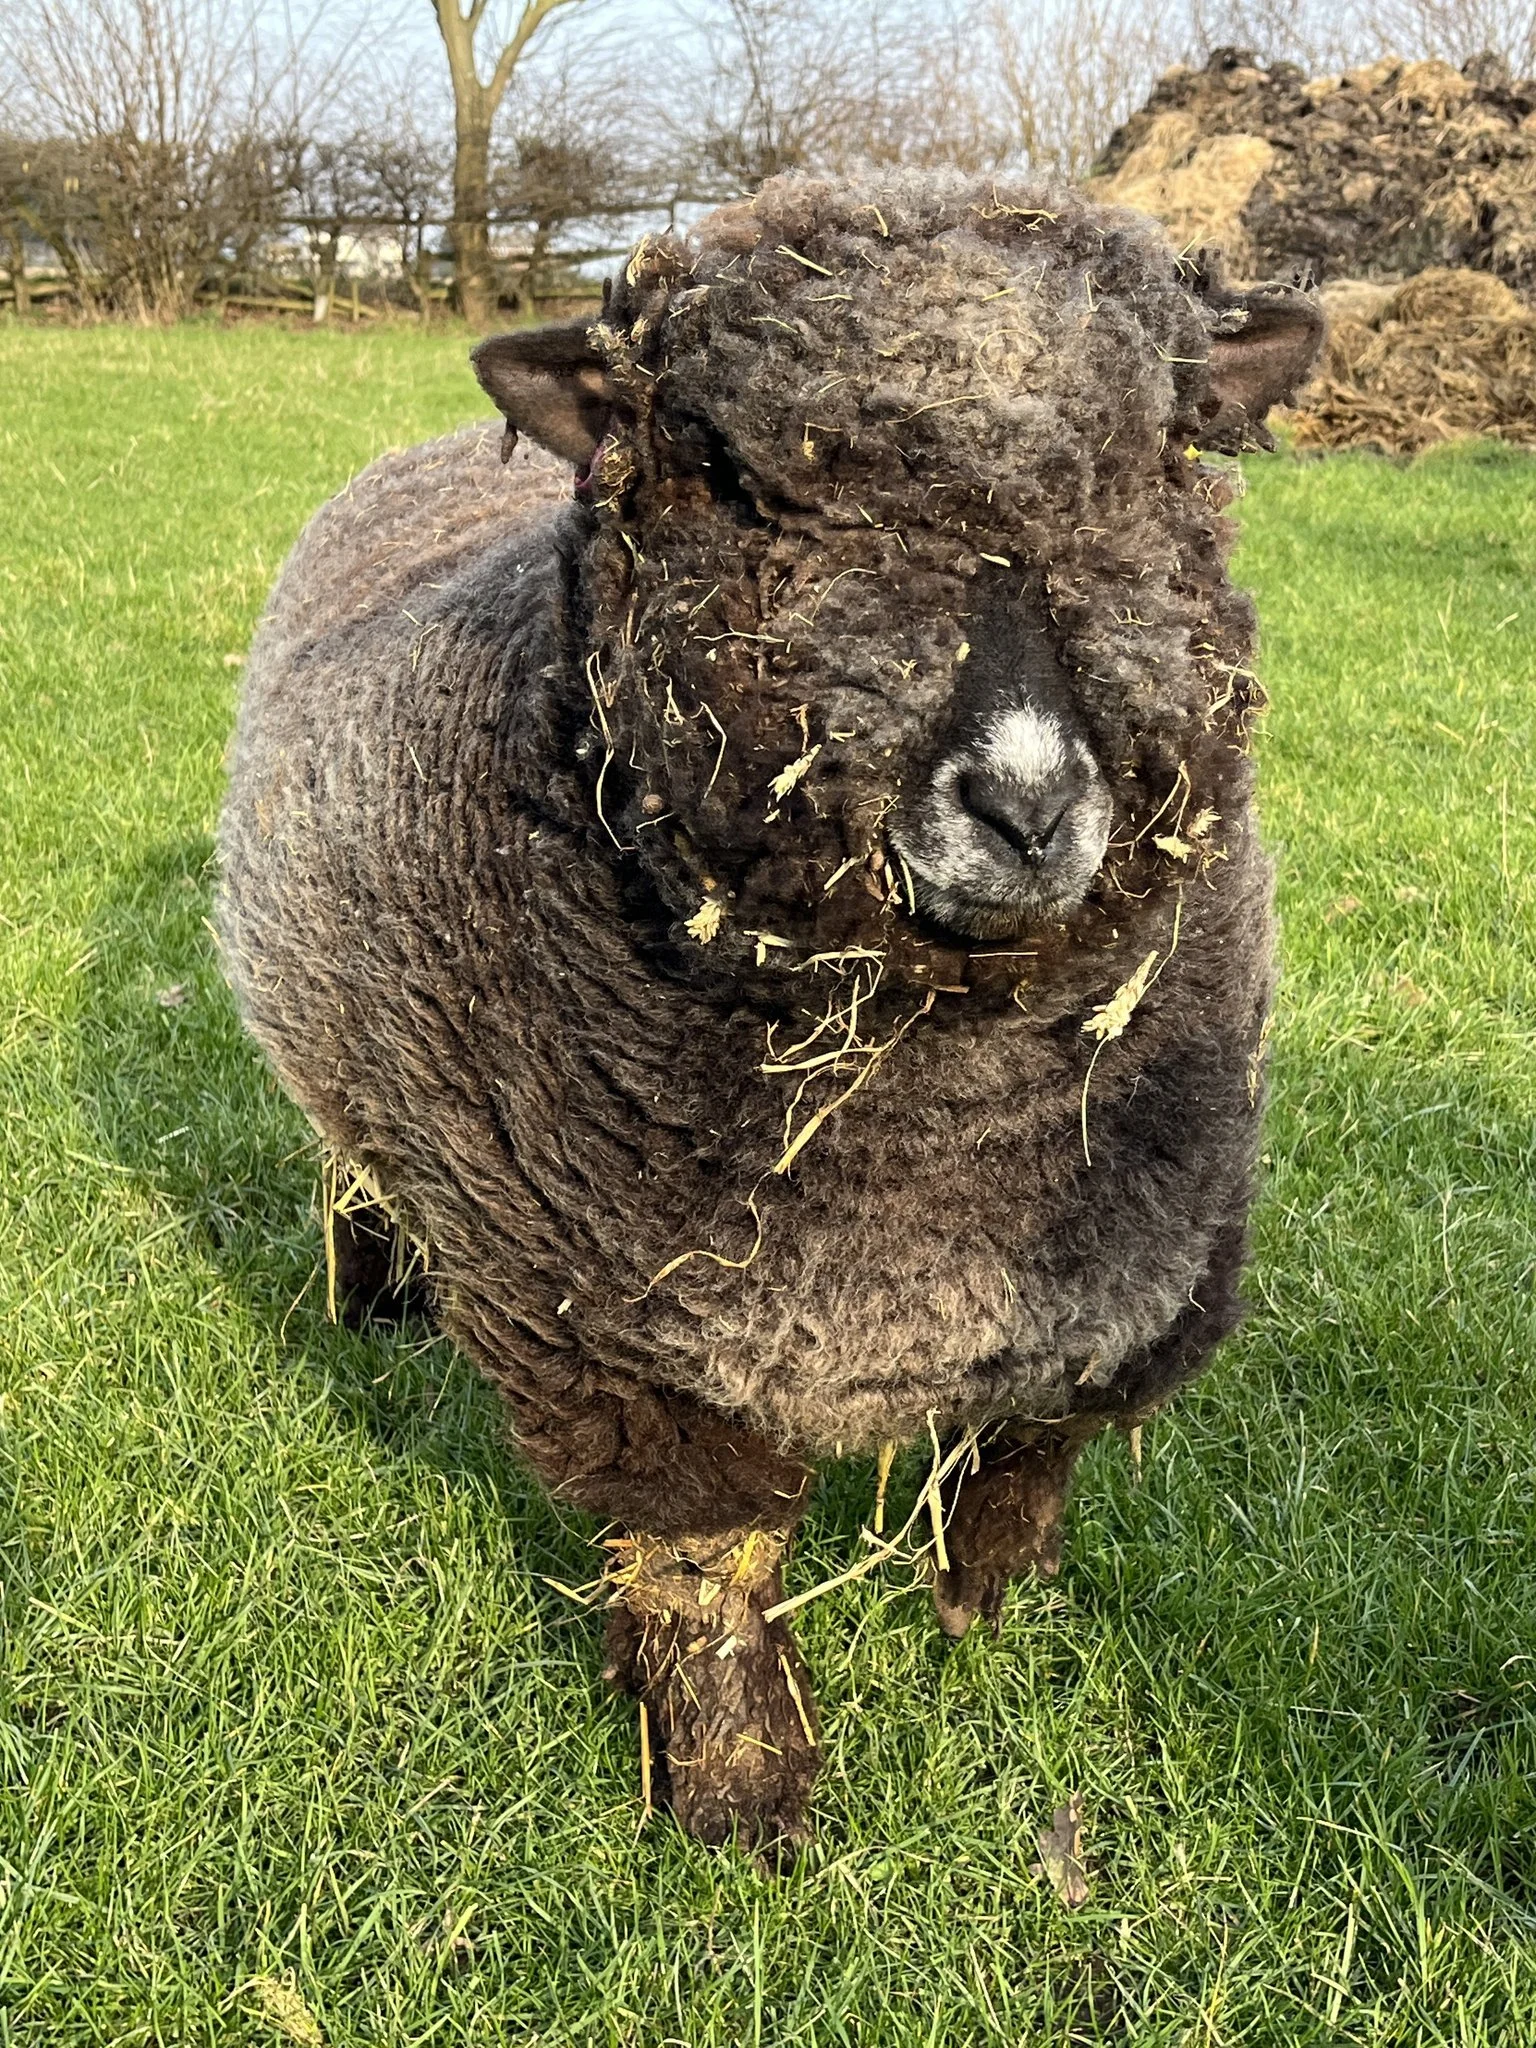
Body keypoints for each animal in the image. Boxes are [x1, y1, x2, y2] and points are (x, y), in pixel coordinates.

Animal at [217, 168, 1322, 1857]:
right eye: (750, 495)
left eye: (1159, 468)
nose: (1026, 805)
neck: (924, 1108)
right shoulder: (605, 1333)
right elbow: (706, 1553)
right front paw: (740, 1791)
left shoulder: (1149, 1256)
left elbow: (1039, 1439)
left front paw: (981, 1598)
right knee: (350, 1166)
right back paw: (370, 1291)